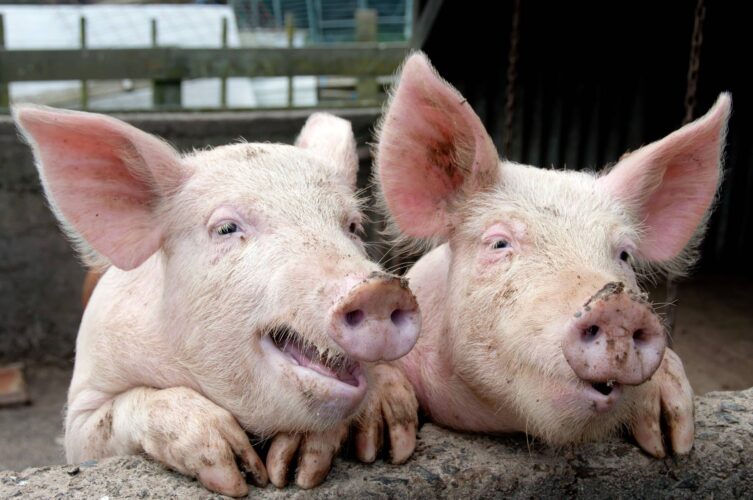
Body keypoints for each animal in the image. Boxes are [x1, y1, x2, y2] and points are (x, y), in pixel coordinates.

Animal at [14, 106, 422, 496]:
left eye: (352, 226)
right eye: (226, 228)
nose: (380, 290)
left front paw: (324, 462)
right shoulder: (82, 409)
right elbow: (112, 417)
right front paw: (238, 473)